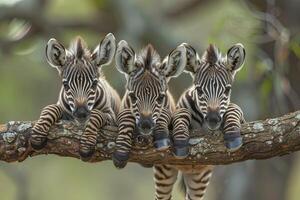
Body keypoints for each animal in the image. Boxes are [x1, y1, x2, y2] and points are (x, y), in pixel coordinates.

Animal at [111, 39, 186, 168]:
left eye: (161, 97)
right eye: (132, 97)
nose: (146, 125)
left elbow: (164, 113)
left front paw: (161, 136)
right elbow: (126, 118)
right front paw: (121, 153)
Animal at [155, 43, 246, 200]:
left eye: (227, 90)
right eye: (199, 91)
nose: (213, 119)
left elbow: (234, 108)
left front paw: (233, 134)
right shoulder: (175, 114)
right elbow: (181, 113)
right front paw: (180, 140)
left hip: (199, 179)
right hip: (164, 173)